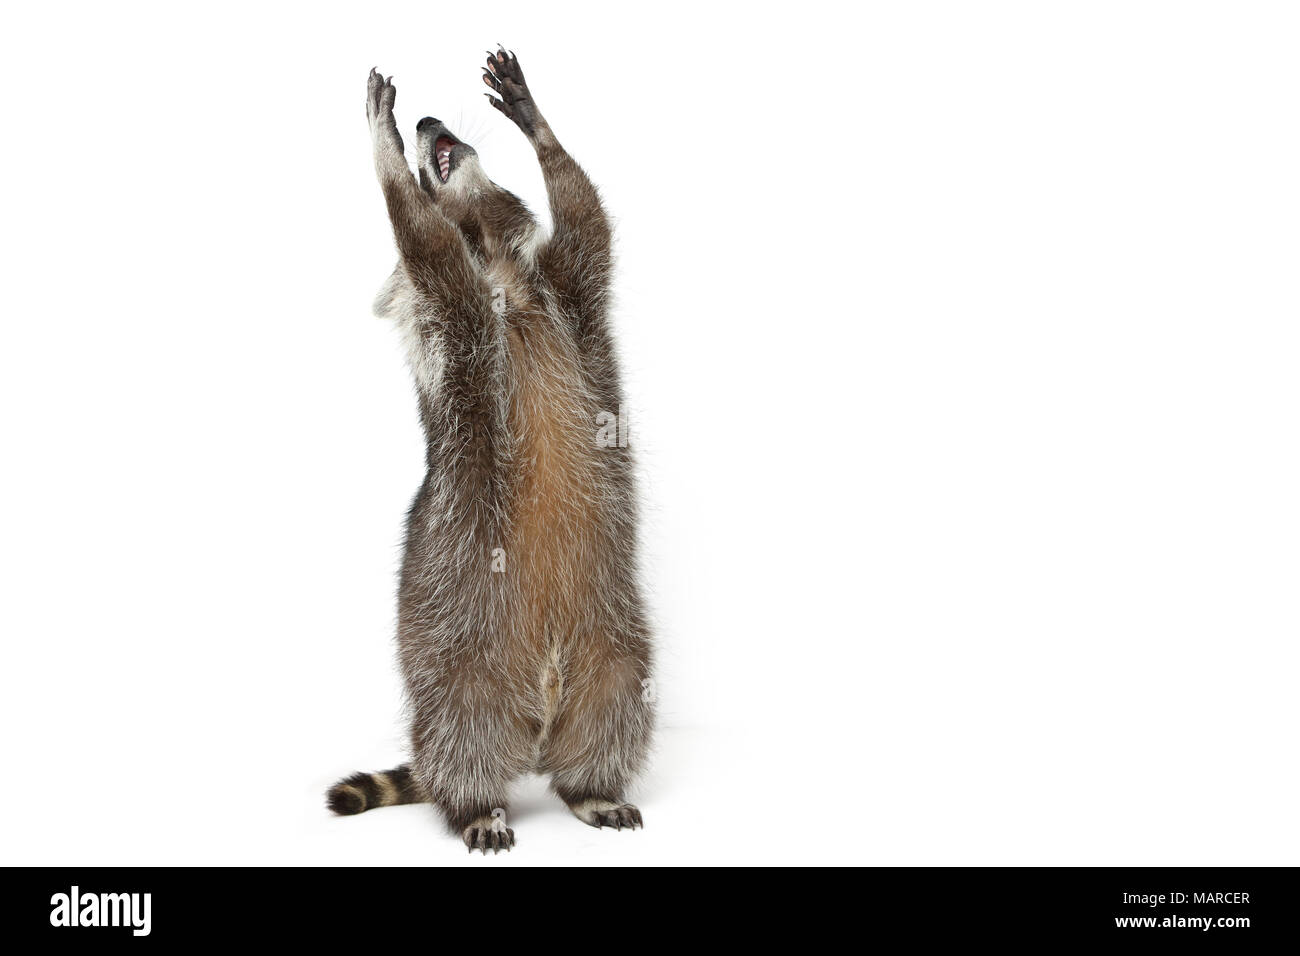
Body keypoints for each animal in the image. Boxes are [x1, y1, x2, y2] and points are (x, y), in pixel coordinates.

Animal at [325, 50, 650, 853]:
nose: (425, 122)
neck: (497, 260)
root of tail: (539, 708)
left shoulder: (570, 293)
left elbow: (588, 218)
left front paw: (537, 122)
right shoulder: (449, 315)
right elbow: (425, 245)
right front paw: (385, 156)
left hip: (616, 636)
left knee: (615, 709)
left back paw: (591, 788)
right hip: (456, 637)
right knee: (460, 730)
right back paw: (475, 801)